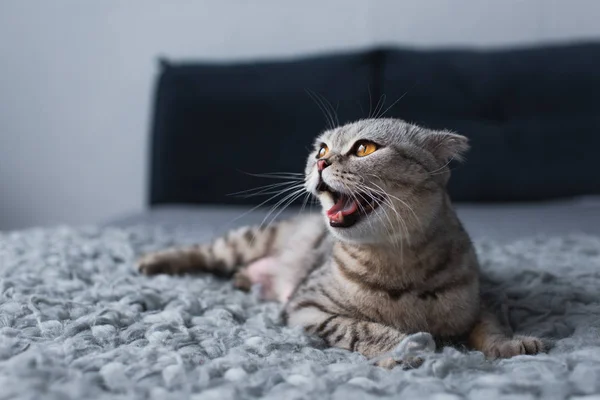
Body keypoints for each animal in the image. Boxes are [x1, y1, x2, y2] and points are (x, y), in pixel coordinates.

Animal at [138, 117, 548, 368]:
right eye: (320, 150)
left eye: (364, 148)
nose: (321, 163)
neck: (399, 265)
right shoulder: (307, 307)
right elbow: (364, 328)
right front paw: (408, 347)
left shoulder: (484, 297)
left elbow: (491, 326)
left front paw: (511, 344)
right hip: (247, 240)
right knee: (205, 252)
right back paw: (153, 261)